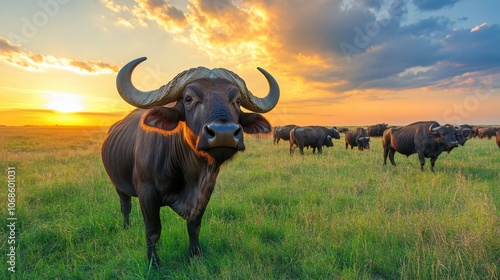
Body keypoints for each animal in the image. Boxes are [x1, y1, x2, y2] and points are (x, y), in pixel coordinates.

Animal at [100, 57, 282, 266]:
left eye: (237, 101)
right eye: (189, 99)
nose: (224, 133)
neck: (189, 173)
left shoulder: (205, 192)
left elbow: (194, 225)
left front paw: (195, 254)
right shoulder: (147, 193)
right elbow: (153, 231)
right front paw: (154, 262)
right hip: (119, 185)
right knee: (125, 206)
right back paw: (126, 227)